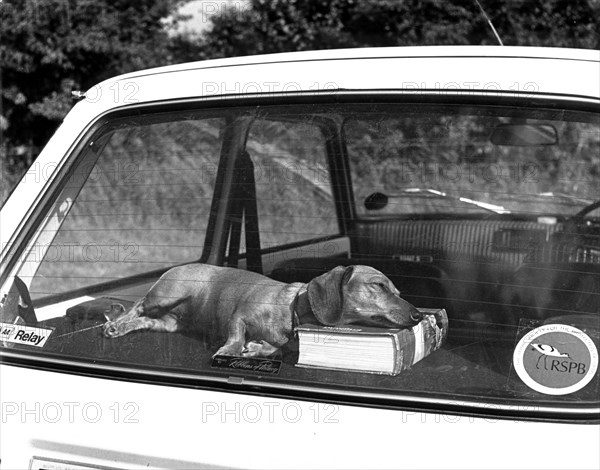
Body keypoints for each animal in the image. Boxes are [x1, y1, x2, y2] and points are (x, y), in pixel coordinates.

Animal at [103, 262, 422, 358]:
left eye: (398, 292)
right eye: (379, 285)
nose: (419, 315)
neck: (292, 312)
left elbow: (272, 348)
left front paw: (258, 348)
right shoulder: (239, 317)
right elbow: (235, 335)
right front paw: (231, 349)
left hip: (168, 323)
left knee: (145, 320)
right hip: (167, 295)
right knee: (138, 306)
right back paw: (115, 324)